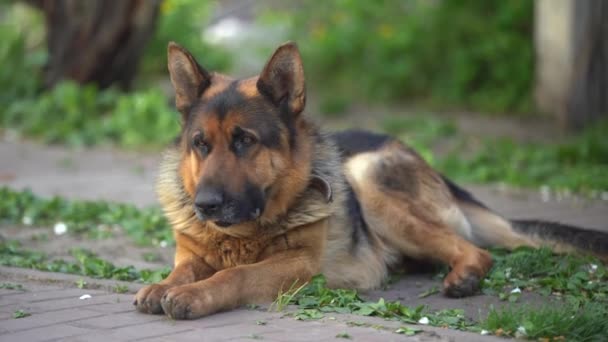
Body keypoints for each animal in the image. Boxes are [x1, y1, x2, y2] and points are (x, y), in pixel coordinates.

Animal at [134, 42, 608, 318]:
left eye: (244, 141)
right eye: (200, 144)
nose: (206, 205)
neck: (242, 234)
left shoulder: (296, 265)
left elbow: (235, 276)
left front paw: (195, 295)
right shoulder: (192, 253)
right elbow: (184, 270)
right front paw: (163, 285)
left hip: (369, 181)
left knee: (475, 249)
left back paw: (463, 278)